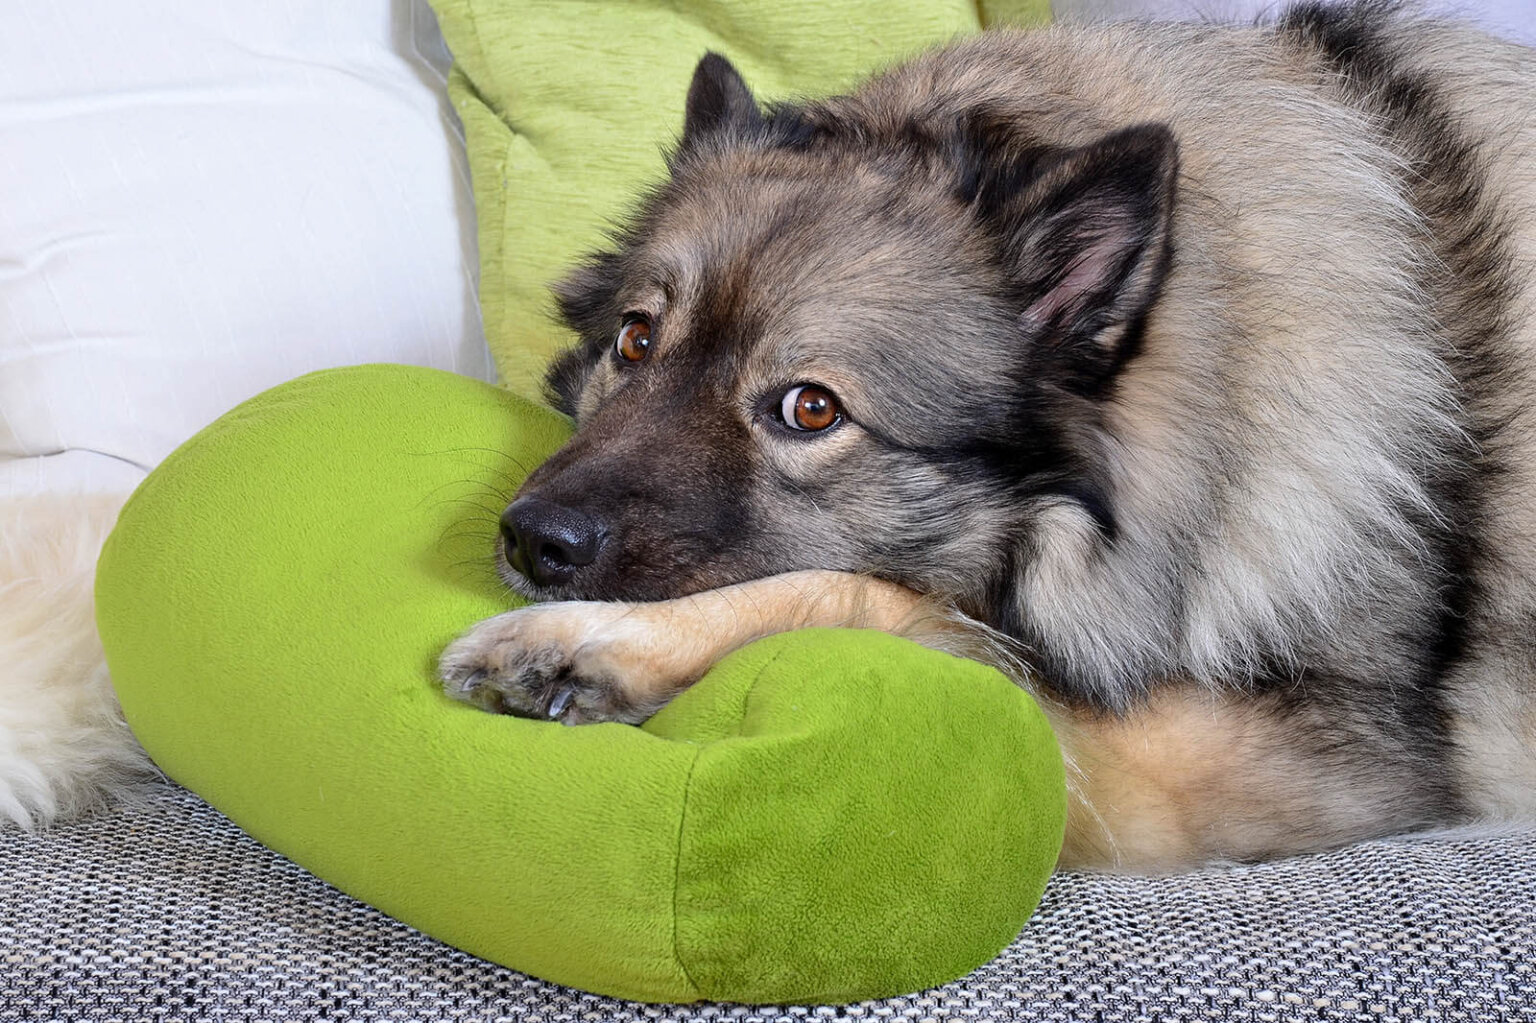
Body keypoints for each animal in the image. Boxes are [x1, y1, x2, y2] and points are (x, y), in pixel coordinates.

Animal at [439, 3, 1536, 872]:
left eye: (811, 409)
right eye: (635, 339)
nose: (532, 540)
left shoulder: (1301, 761)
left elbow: (872, 598)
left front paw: (588, 642)